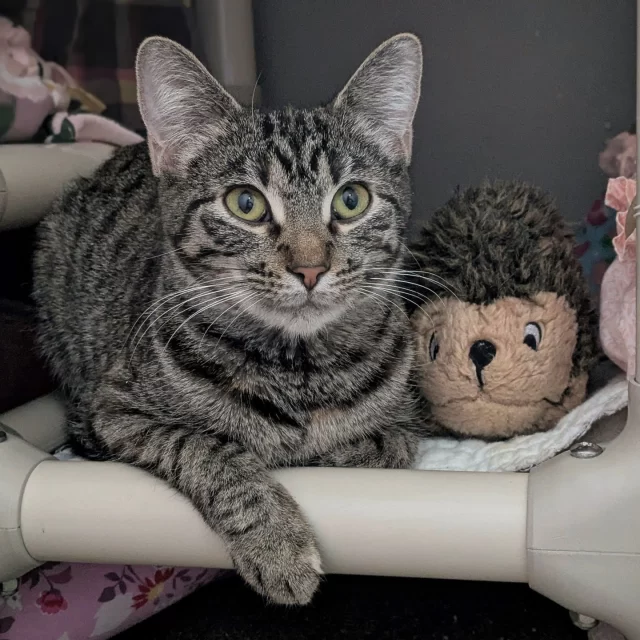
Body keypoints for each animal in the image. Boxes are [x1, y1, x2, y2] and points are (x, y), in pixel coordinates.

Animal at [35, 35, 424, 604]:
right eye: (246, 203)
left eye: (352, 200)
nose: (310, 268)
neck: (298, 370)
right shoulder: (116, 411)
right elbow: (206, 448)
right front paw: (277, 543)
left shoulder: (406, 424)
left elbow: (378, 447)